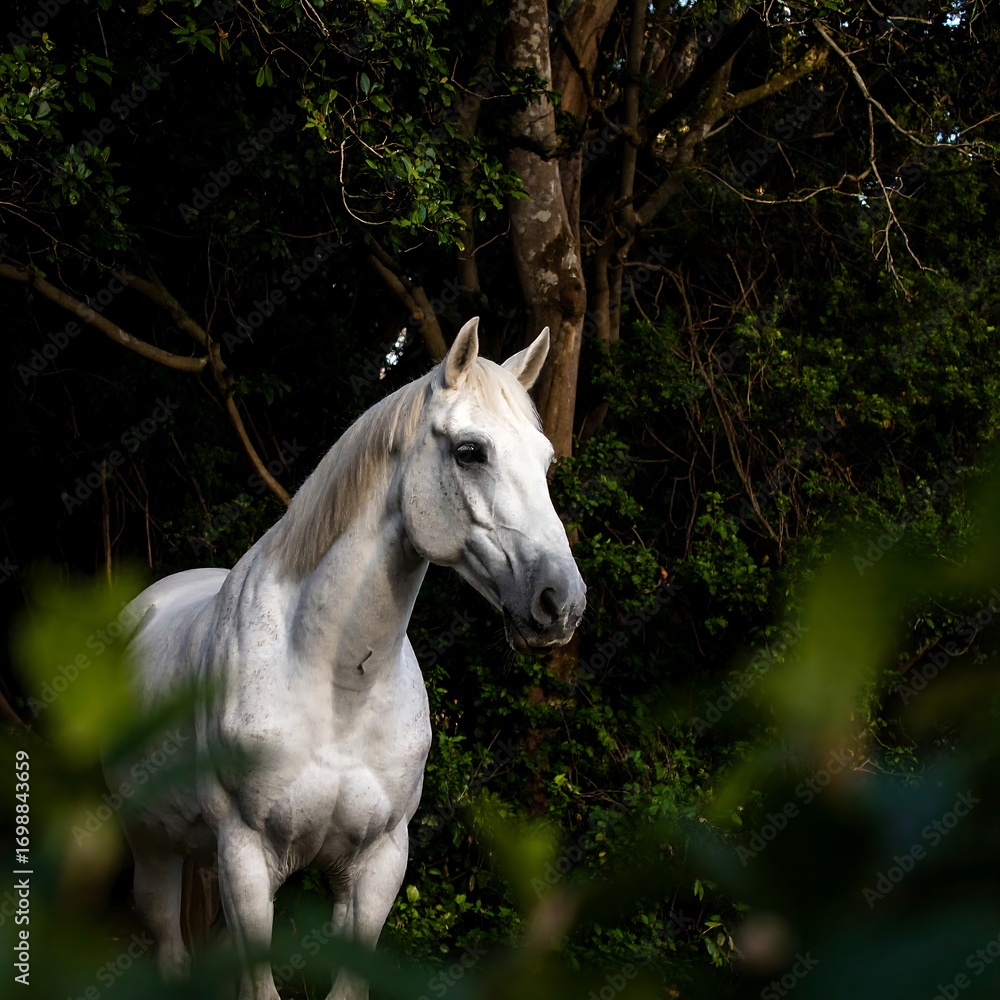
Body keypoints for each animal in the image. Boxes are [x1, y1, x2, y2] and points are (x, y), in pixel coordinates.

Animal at [107, 317, 587, 1000]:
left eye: (545, 460)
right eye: (471, 451)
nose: (561, 602)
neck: (336, 681)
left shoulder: (377, 862)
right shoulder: (245, 857)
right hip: (153, 848)